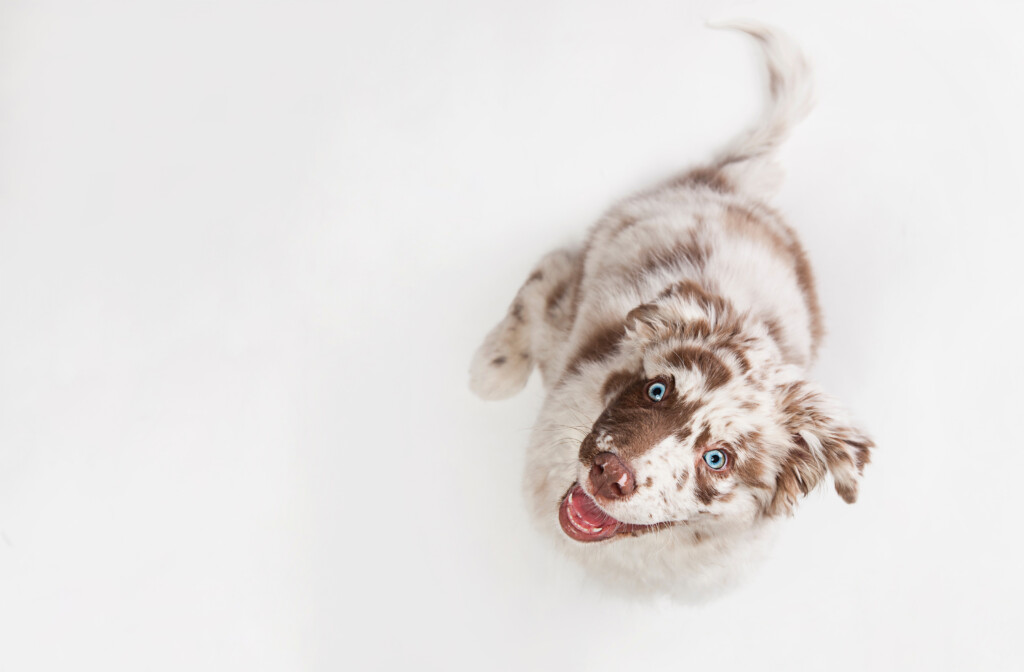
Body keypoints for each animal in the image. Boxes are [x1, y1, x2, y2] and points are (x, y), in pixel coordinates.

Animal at [468, 22, 868, 598]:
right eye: (656, 390)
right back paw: (493, 368)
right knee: (553, 266)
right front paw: (494, 369)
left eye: (717, 459)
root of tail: (730, 187)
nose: (610, 471)